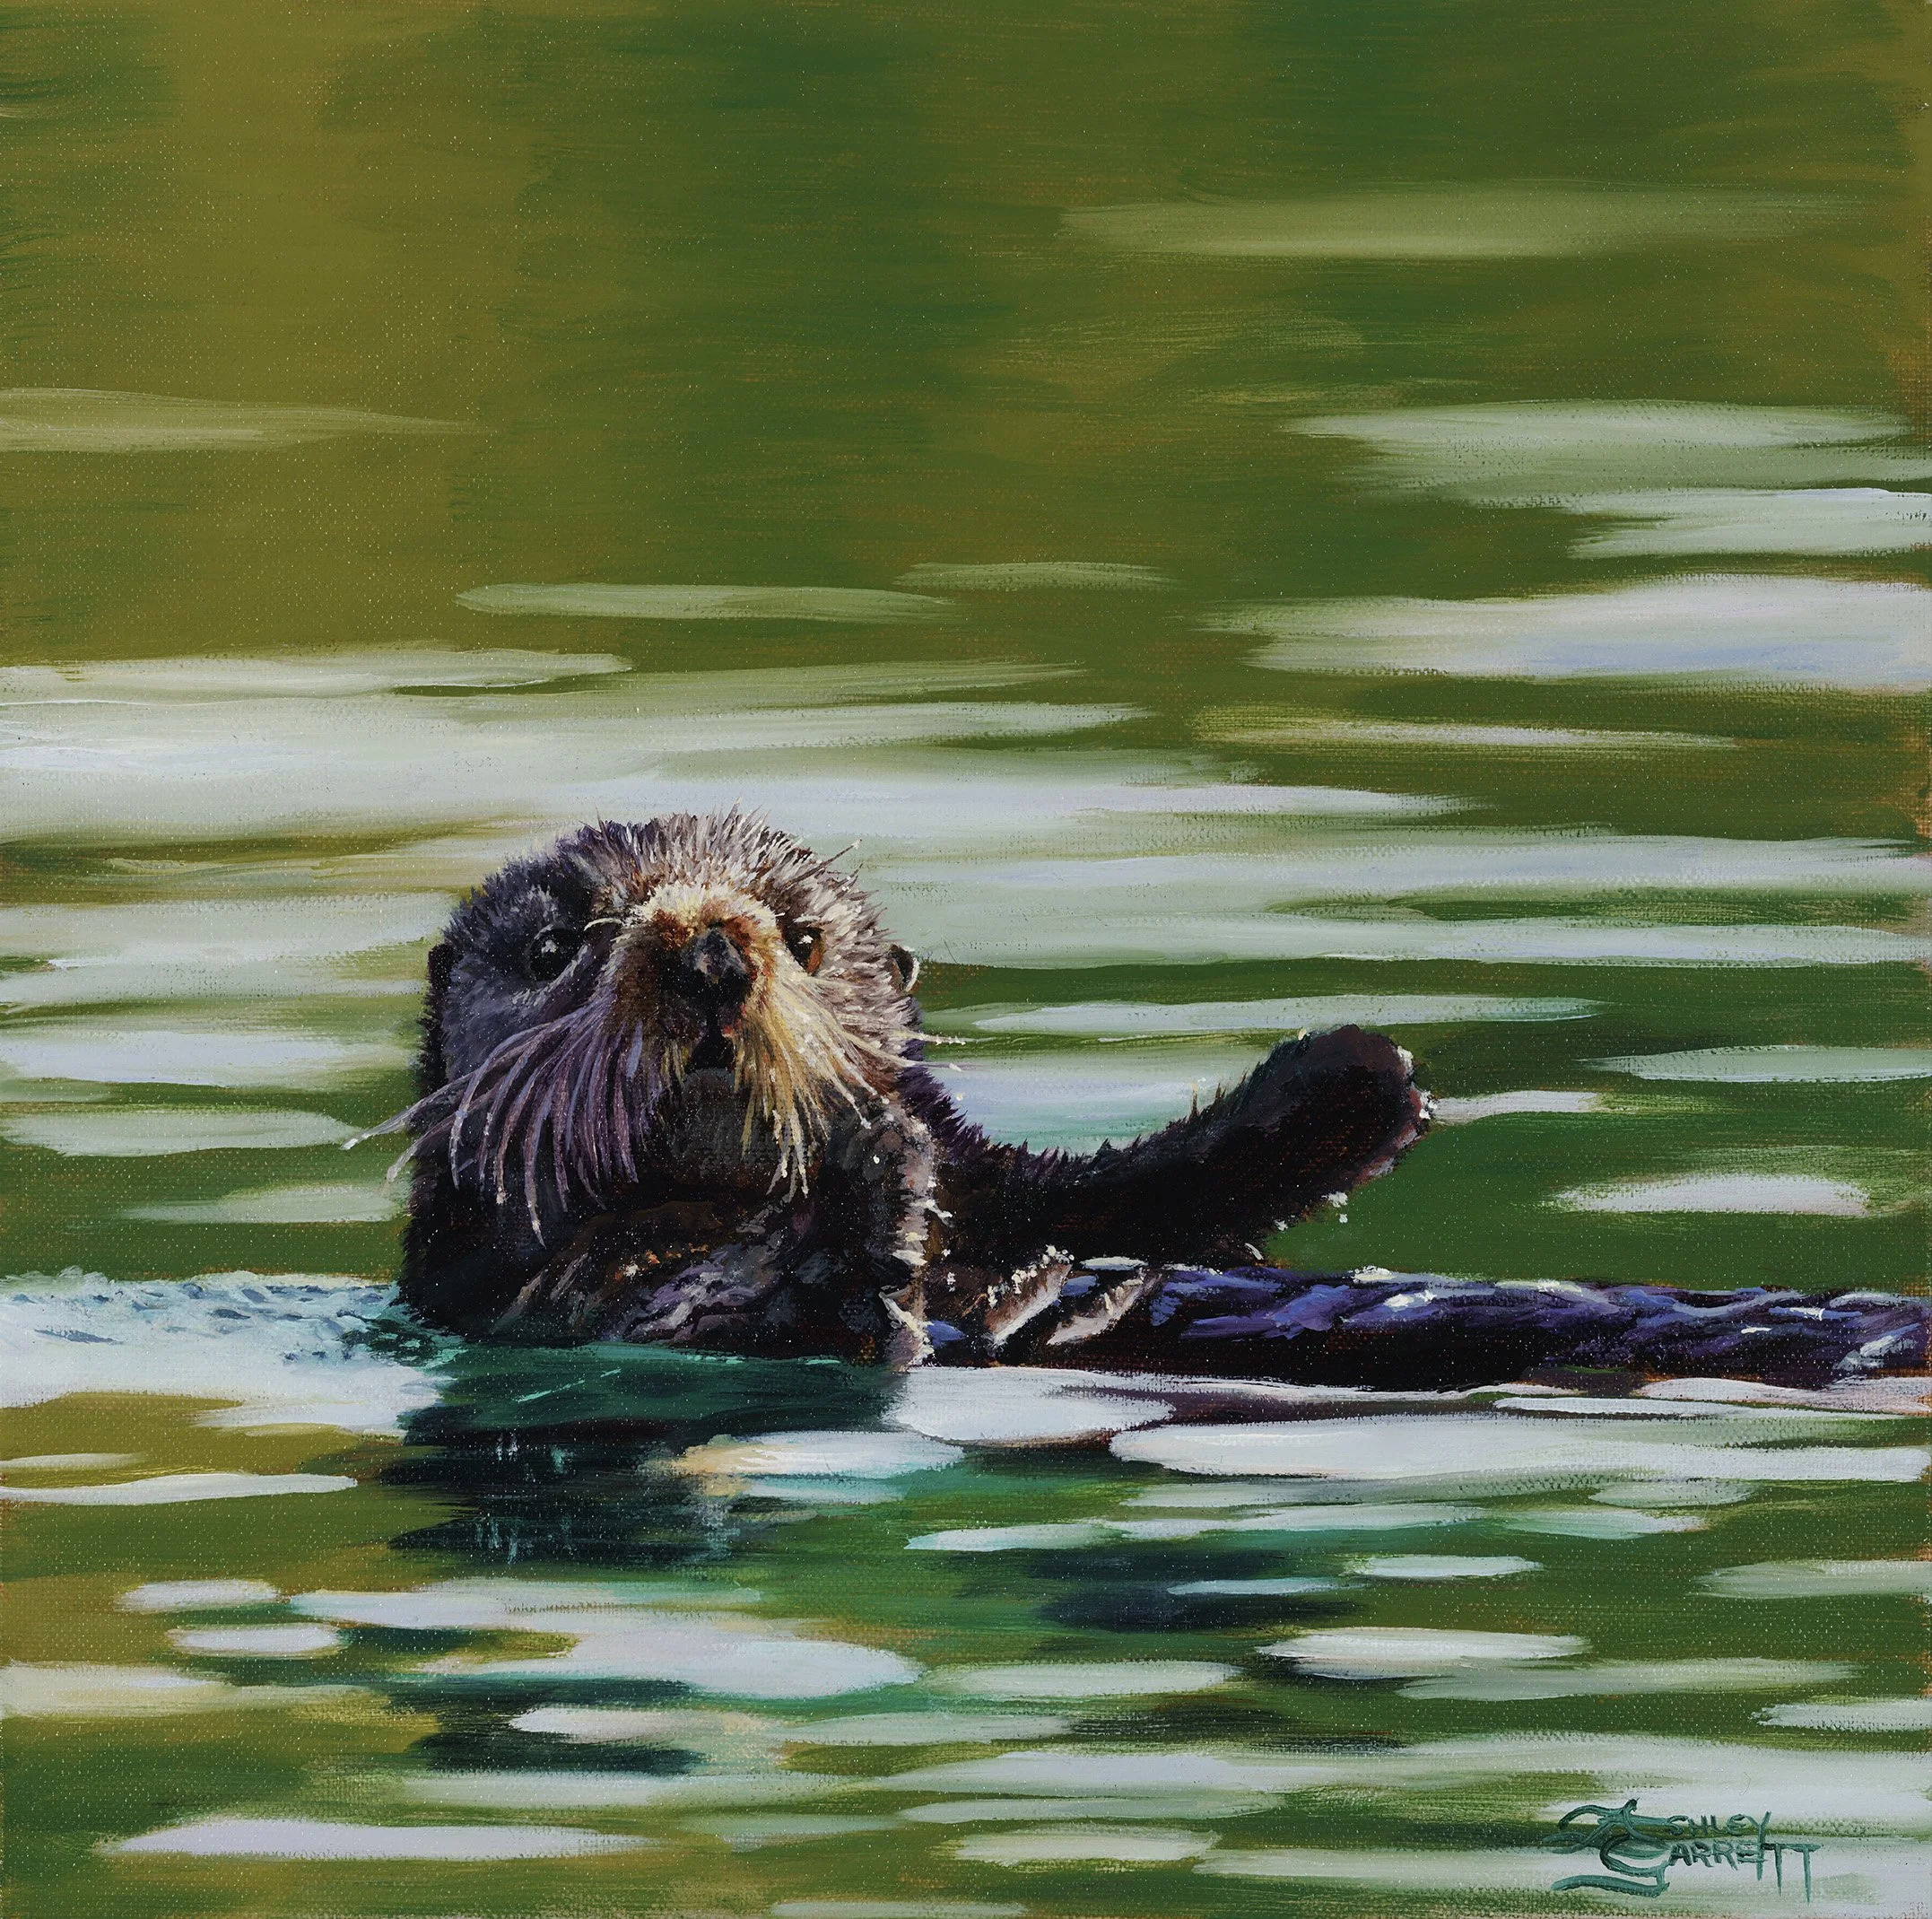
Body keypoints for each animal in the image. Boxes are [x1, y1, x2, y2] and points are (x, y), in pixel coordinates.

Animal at [375, 810, 1430, 1365]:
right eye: (555, 947)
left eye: (803, 936)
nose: (710, 954)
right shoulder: (531, 1300)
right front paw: (880, 1175)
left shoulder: (1043, 1198)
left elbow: (1154, 1188)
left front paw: (1358, 1075)